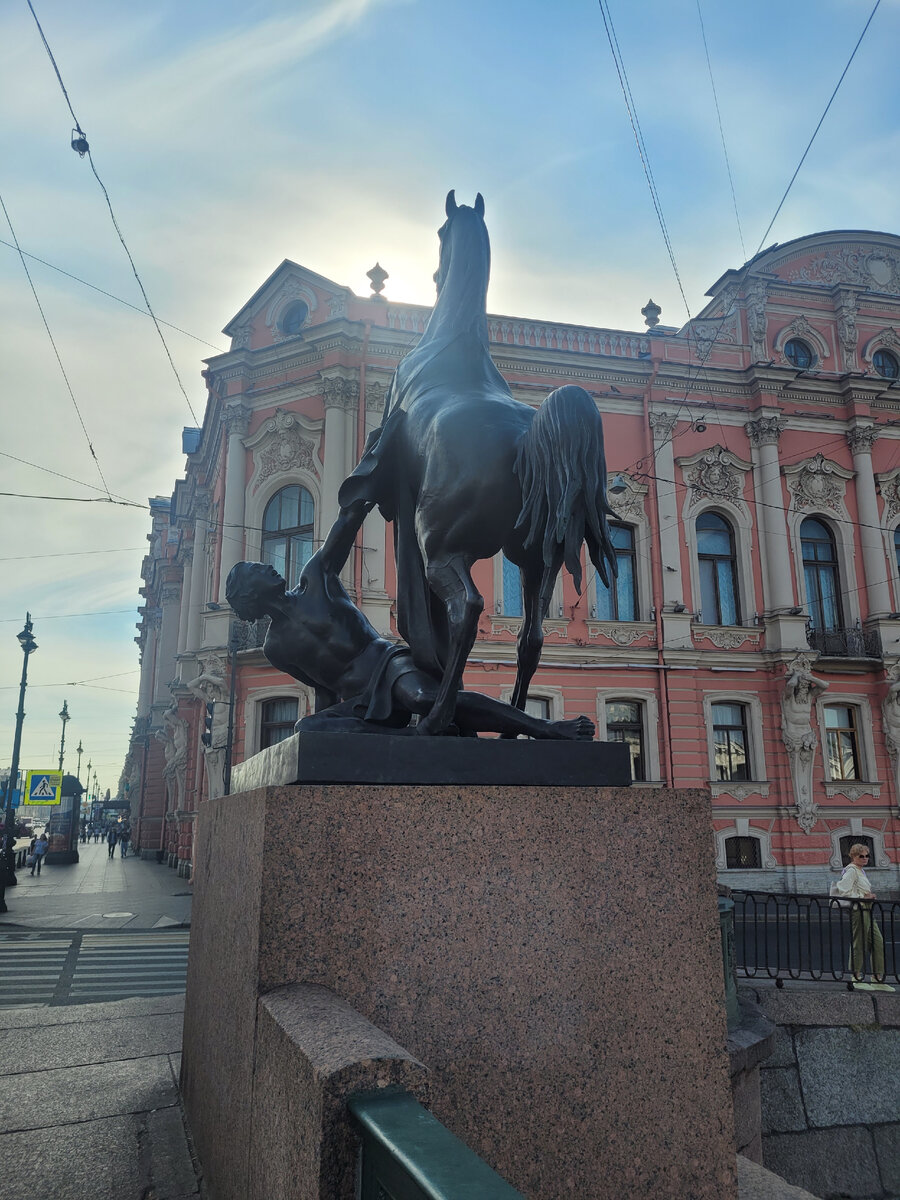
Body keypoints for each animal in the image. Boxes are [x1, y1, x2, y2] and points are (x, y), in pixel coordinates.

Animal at [338, 189, 619, 729]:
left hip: (442, 548)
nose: (434, 274)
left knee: (466, 609)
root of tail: (527, 438)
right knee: (531, 638)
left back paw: (436, 719)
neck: (453, 343)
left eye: (441, 233)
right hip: (534, 561)